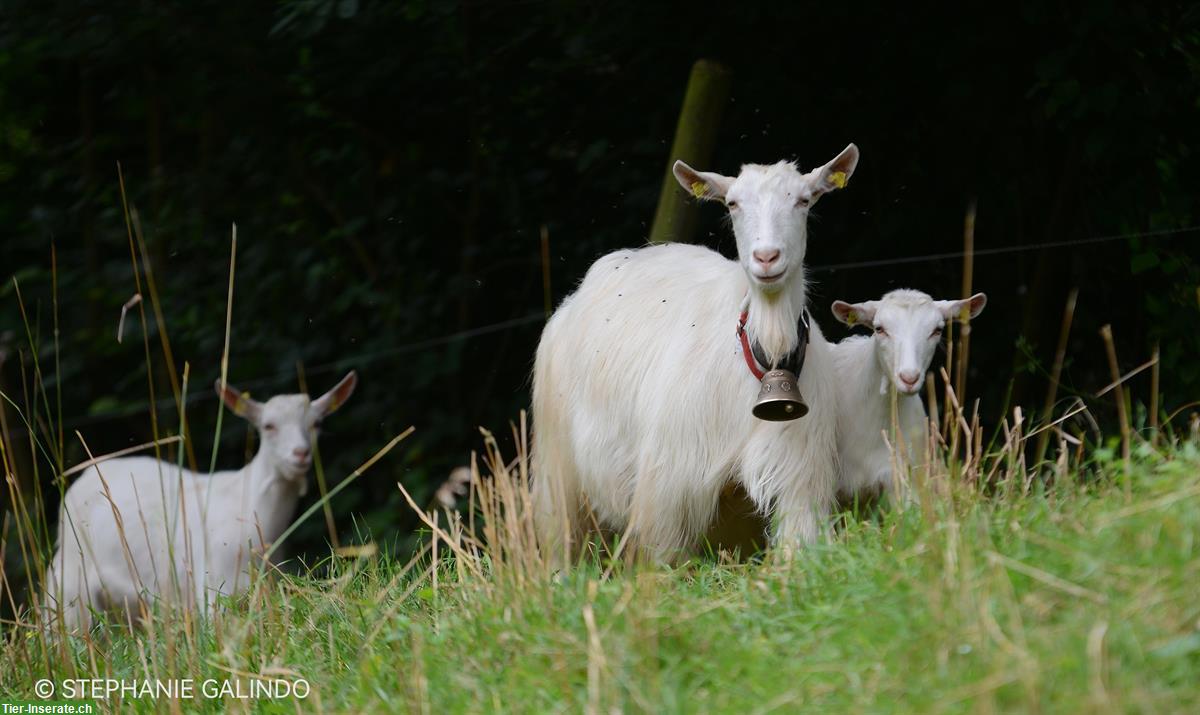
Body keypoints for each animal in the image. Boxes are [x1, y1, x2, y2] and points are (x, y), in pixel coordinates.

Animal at [43, 371, 360, 628]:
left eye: (316, 423)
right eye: (268, 426)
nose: (300, 454)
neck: (249, 504)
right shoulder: (213, 588)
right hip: (68, 588)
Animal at [535, 142, 864, 561]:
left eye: (804, 200)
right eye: (733, 203)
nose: (767, 258)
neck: (764, 356)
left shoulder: (799, 479)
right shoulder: (666, 492)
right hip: (559, 474)